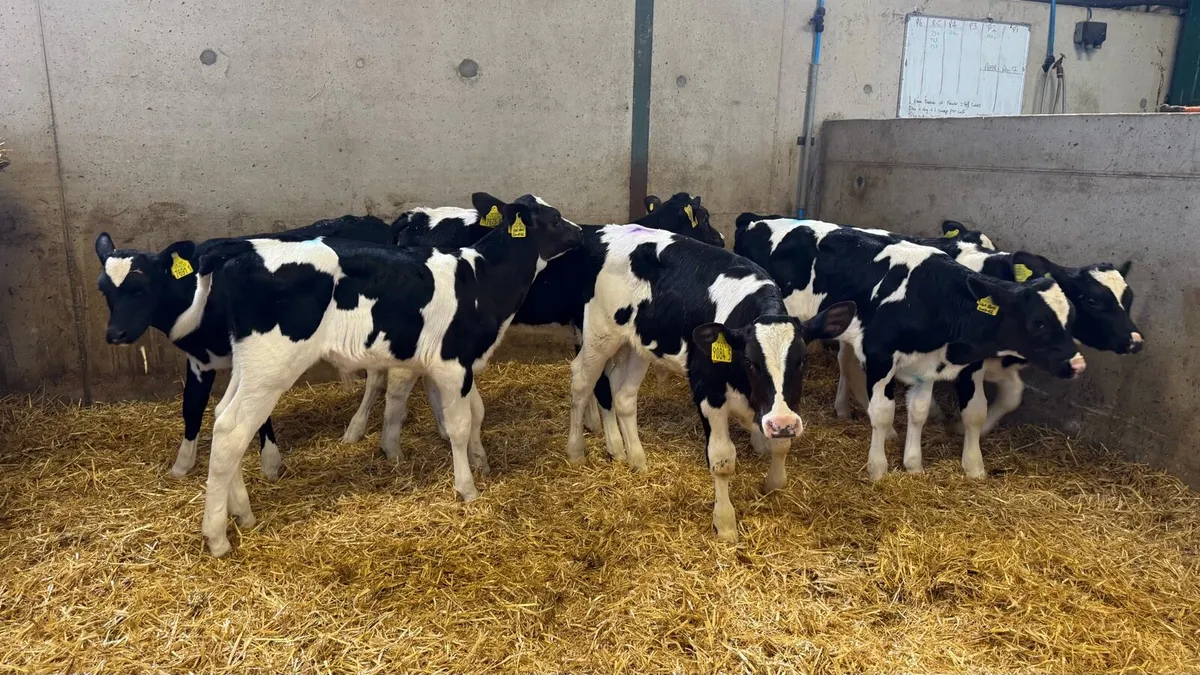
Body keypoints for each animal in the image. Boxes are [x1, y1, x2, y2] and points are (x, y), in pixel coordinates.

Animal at [93, 215, 392, 481]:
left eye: (141, 288)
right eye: (103, 290)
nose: (115, 334)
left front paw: (270, 463)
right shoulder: (198, 359)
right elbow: (191, 406)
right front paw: (182, 465)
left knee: (375, 378)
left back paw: (355, 429)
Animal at [190, 195, 581, 556]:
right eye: (555, 219)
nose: (580, 232)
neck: (481, 280)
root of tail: (243, 246)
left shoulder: (468, 362)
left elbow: (477, 413)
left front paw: (481, 461)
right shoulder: (452, 363)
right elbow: (459, 425)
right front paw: (467, 487)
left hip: (249, 365)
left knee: (223, 416)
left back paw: (242, 513)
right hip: (271, 365)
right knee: (232, 430)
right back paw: (217, 537)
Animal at [345, 192, 726, 464]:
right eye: (703, 218)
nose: (722, 240)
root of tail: (416, 216)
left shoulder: (581, 327)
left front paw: (592, 424)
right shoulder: (589, 323)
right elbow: (602, 386)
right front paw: (613, 445)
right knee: (391, 379)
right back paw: (375, 438)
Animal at [562, 224, 856, 542]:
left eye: (803, 360)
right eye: (750, 361)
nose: (783, 424)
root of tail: (608, 229)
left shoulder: (778, 409)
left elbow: (781, 446)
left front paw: (773, 482)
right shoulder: (707, 391)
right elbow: (722, 460)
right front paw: (725, 523)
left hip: (637, 345)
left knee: (623, 396)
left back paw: (633, 457)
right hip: (599, 335)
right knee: (582, 381)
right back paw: (576, 451)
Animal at [733, 217, 1086, 481]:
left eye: (1071, 317)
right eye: (1038, 323)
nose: (1078, 364)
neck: (929, 295)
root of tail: (756, 219)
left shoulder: (932, 364)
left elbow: (926, 411)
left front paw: (920, 463)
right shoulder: (880, 355)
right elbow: (883, 412)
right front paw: (878, 467)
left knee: (847, 363)